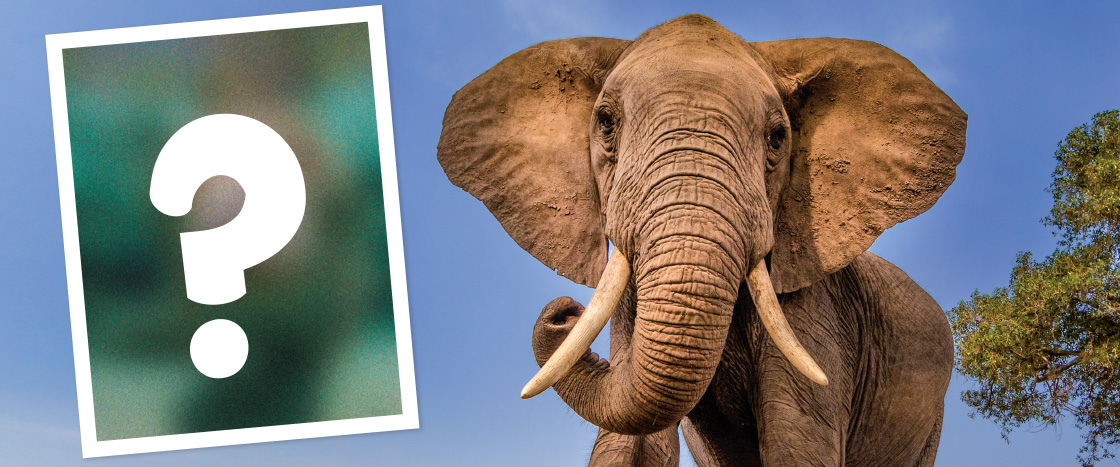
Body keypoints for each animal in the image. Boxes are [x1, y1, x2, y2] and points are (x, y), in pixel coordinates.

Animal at [437, 14, 965, 467]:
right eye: (606, 122)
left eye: (777, 137)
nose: (562, 312)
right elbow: (633, 442)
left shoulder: (819, 309)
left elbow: (797, 442)